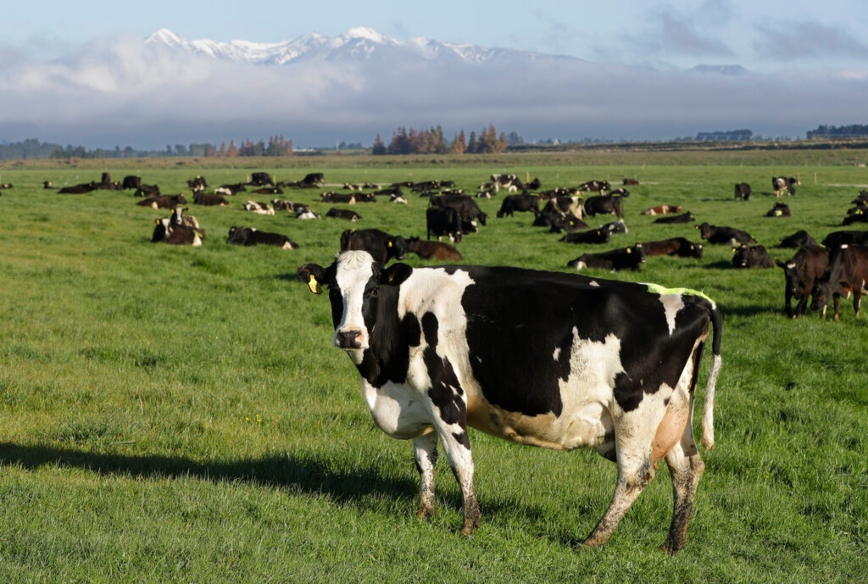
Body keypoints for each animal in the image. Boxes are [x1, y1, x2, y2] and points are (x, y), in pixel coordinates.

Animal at [294, 251, 724, 552]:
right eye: (334, 291)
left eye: (371, 290)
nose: (349, 335)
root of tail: (692, 299)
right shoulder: (416, 400)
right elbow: (425, 462)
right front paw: (423, 515)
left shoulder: (445, 394)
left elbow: (460, 462)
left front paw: (469, 525)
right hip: (673, 413)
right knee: (687, 469)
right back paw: (672, 543)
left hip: (636, 409)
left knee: (635, 474)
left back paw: (593, 540)